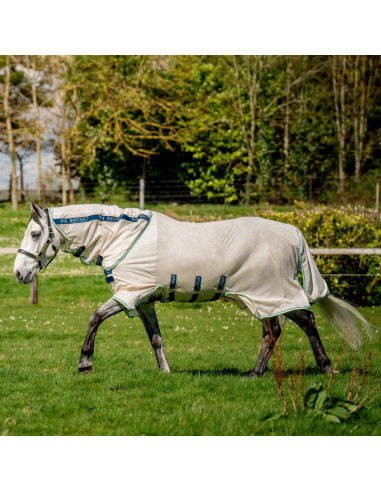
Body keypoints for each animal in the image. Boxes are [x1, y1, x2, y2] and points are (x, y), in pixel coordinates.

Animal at [14, 200, 372, 376]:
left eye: (35, 234)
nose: (19, 273)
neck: (122, 237)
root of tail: (291, 232)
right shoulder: (144, 301)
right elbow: (155, 338)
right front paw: (165, 372)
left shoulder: (129, 293)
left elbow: (94, 318)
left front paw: (84, 363)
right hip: (264, 297)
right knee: (289, 327)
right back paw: (311, 368)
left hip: (268, 293)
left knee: (286, 327)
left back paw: (268, 373)